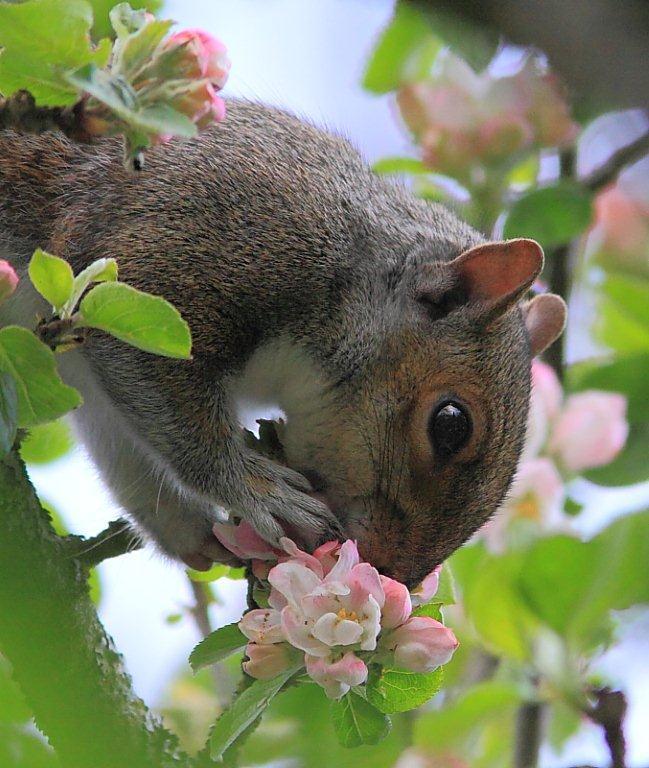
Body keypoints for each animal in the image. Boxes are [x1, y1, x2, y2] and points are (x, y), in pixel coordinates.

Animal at [0, 99, 560, 584]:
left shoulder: (84, 367)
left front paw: (192, 531)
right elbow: (172, 411)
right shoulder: (187, 253)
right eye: (450, 424)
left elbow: (121, 449)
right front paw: (256, 488)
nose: (389, 573)